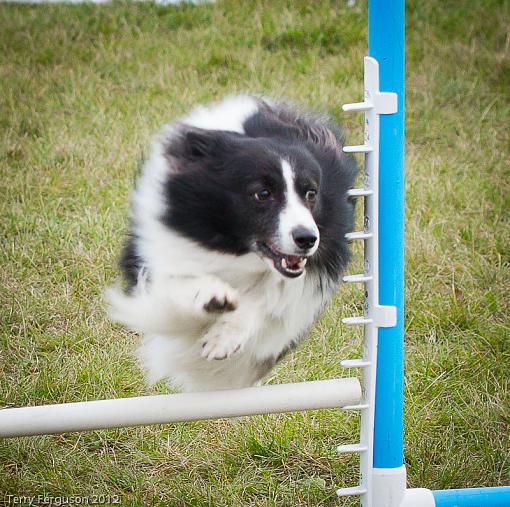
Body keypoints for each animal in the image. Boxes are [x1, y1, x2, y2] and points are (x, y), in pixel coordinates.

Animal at [106, 95, 356, 392]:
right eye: (262, 194)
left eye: (311, 193)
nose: (307, 239)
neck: (236, 253)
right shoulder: (157, 255)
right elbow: (176, 283)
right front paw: (211, 296)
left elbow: (267, 301)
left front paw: (223, 338)